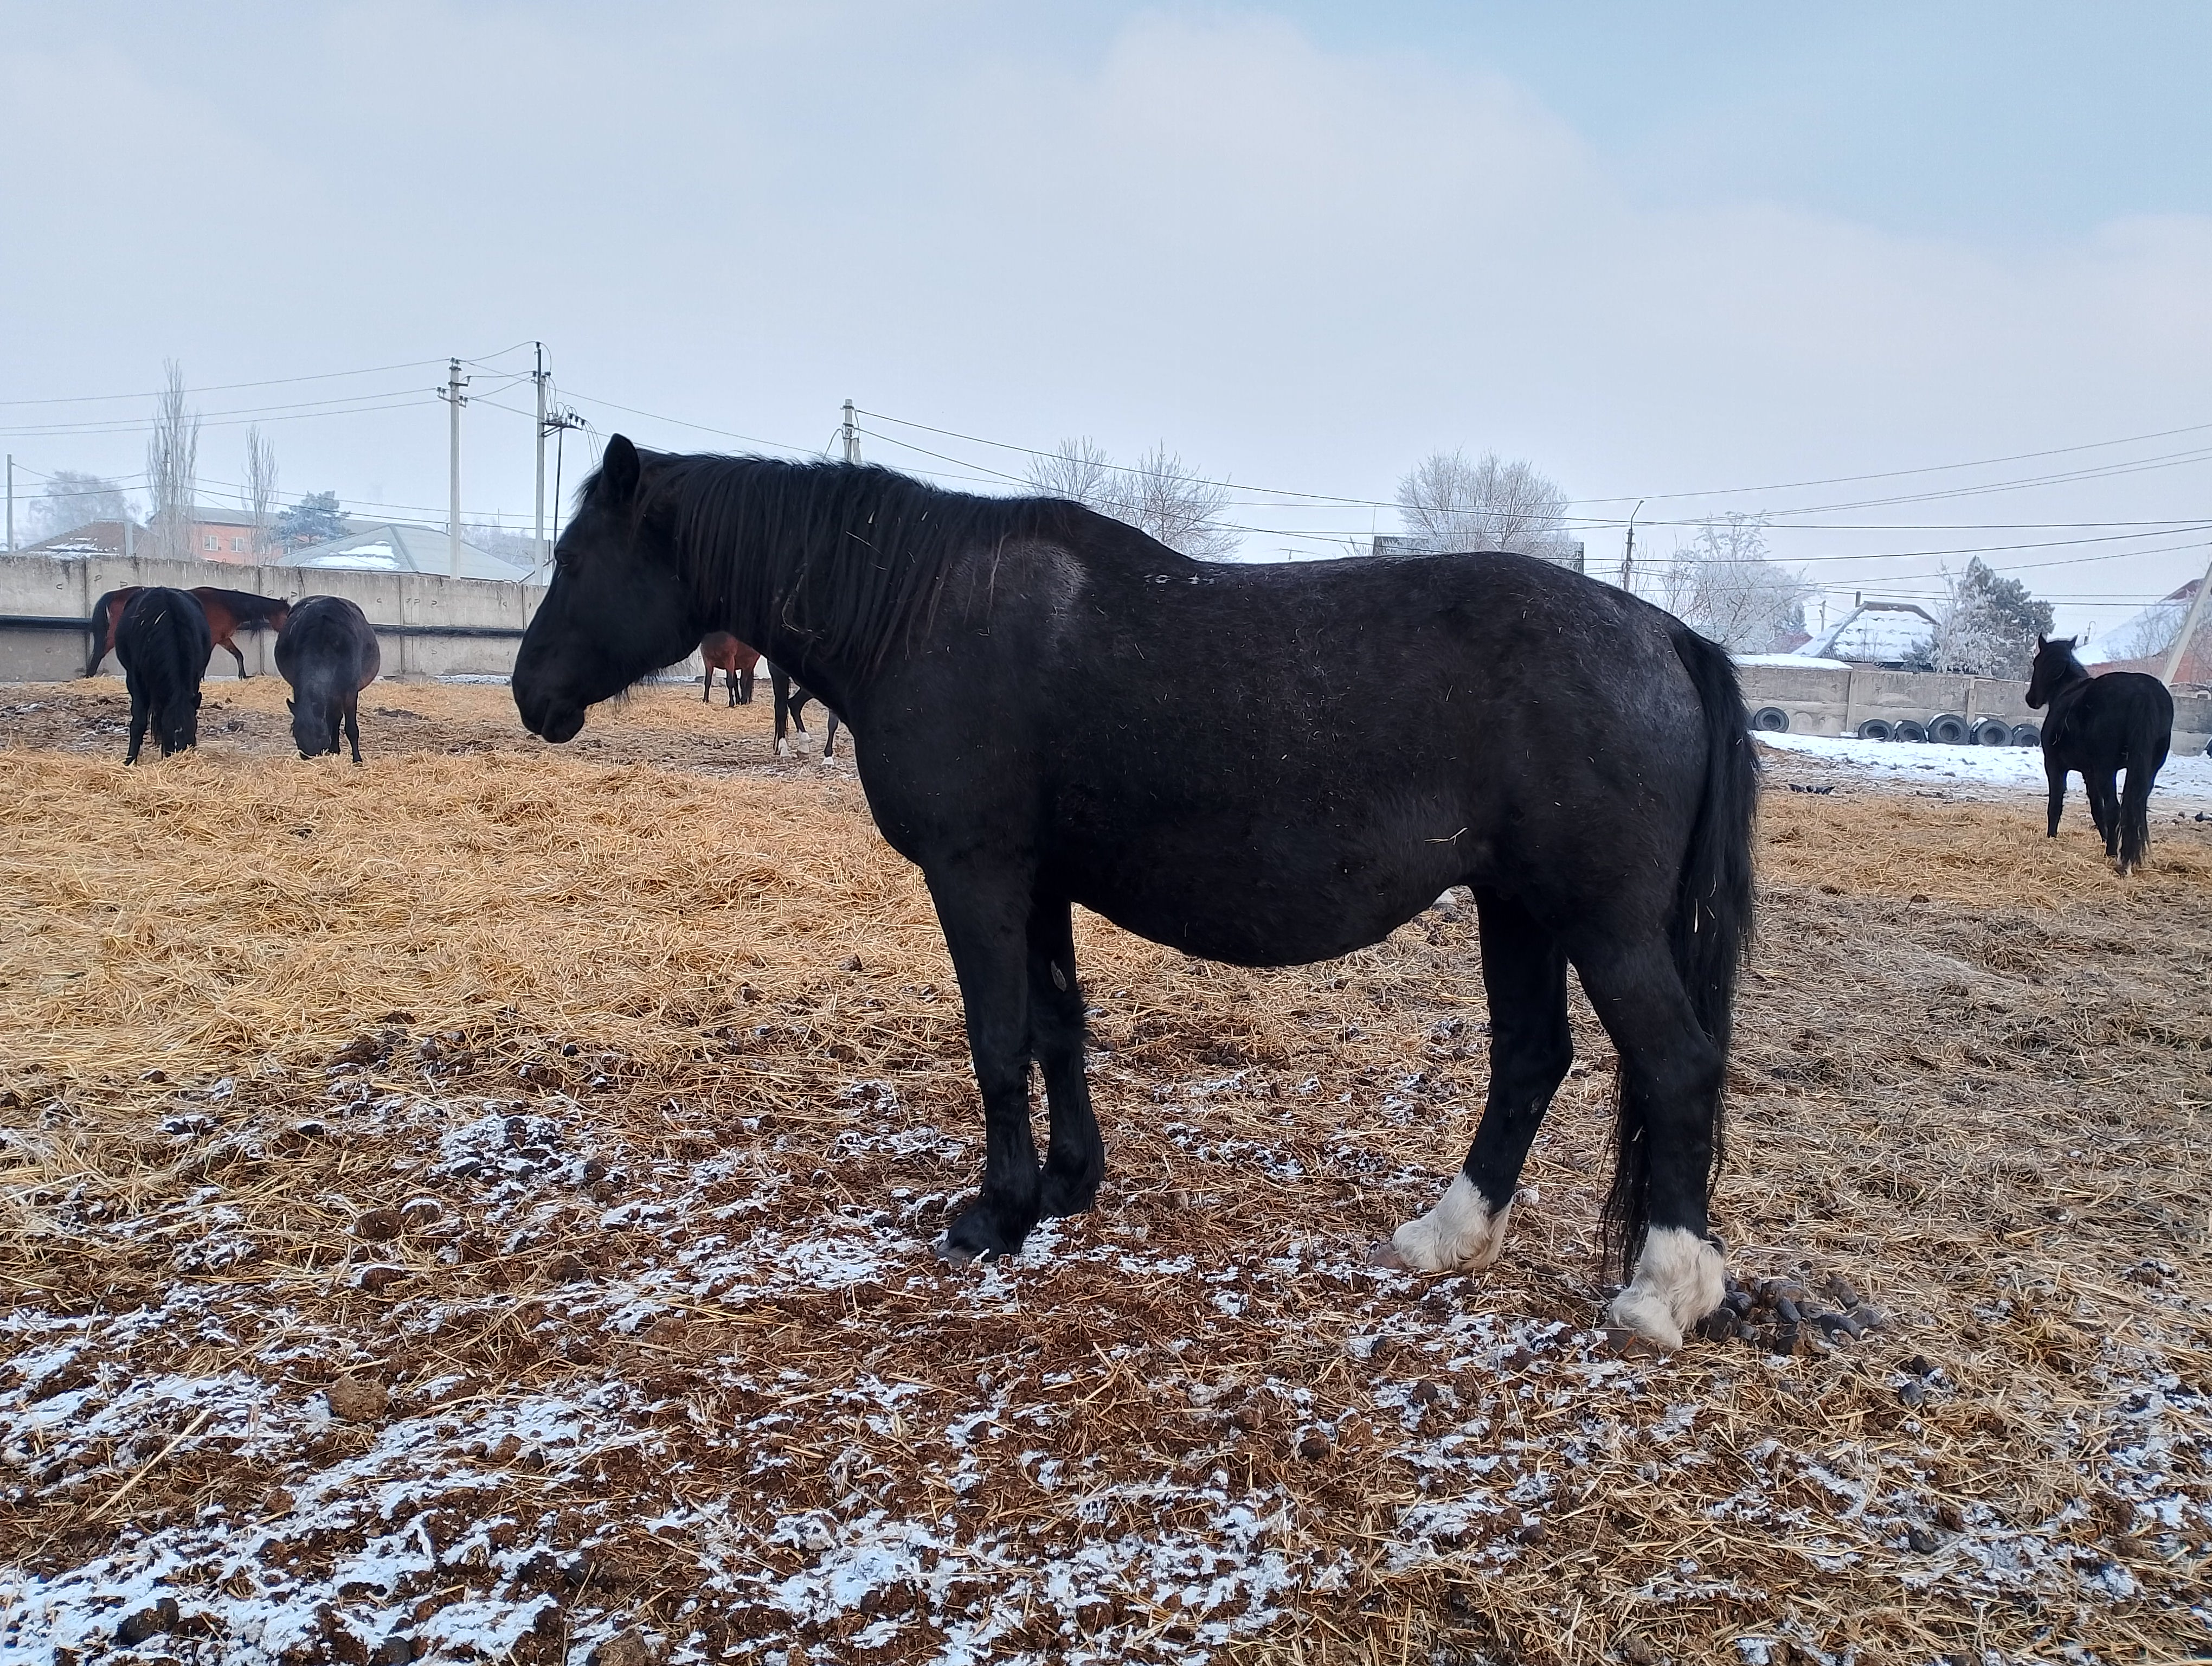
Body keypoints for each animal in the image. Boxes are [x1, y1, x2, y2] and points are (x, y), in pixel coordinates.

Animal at [116, 588, 212, 764]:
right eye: (168, 728)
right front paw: (130, 760)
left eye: (194, 727)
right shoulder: (135, 680)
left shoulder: (194, 678)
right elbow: (139, 722)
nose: (180, 753)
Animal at [276, 596, 381, 764]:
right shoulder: (298, 687)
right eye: (295, 732)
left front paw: (357, 759)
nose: (308, 755)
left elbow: (351, 729)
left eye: (321, 734)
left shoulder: (350, 691)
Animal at [699, 631, 759, 705]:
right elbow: (707, 681)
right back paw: (739, 701)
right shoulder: (708, 661)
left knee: (743, 682)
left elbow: (729, 682)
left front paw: (731, 703)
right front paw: (705, 700)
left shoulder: (729, 661)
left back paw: (743, 701)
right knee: (737, 683)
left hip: (749, 665)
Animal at [2026, 635, 2172, 873]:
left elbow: (2056, 805)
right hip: (2146, 771)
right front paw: (2104, 838)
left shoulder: (2056, 767)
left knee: (2115, 809)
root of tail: (2143, 692)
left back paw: (2113, 853)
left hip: (2106, 770)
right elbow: (2097, 809)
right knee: (2134, 808)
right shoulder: (2090, 772)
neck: (2067, 692)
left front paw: (2051, 837)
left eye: (2036, 663)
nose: (2031, 699)